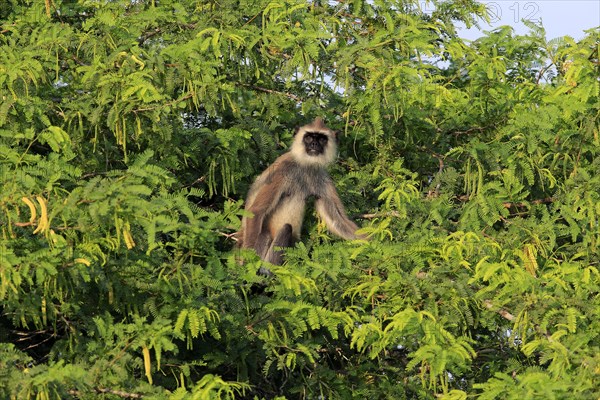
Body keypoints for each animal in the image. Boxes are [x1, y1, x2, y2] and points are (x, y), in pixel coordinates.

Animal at [237, 118, 364, 266]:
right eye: (308, 137)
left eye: (321, 139)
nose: (314, 144)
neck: (305, 165)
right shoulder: (283, 169)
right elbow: (257, 210)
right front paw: (246, 261)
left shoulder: (321, 176)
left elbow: (338, 220)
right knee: (284, 229)